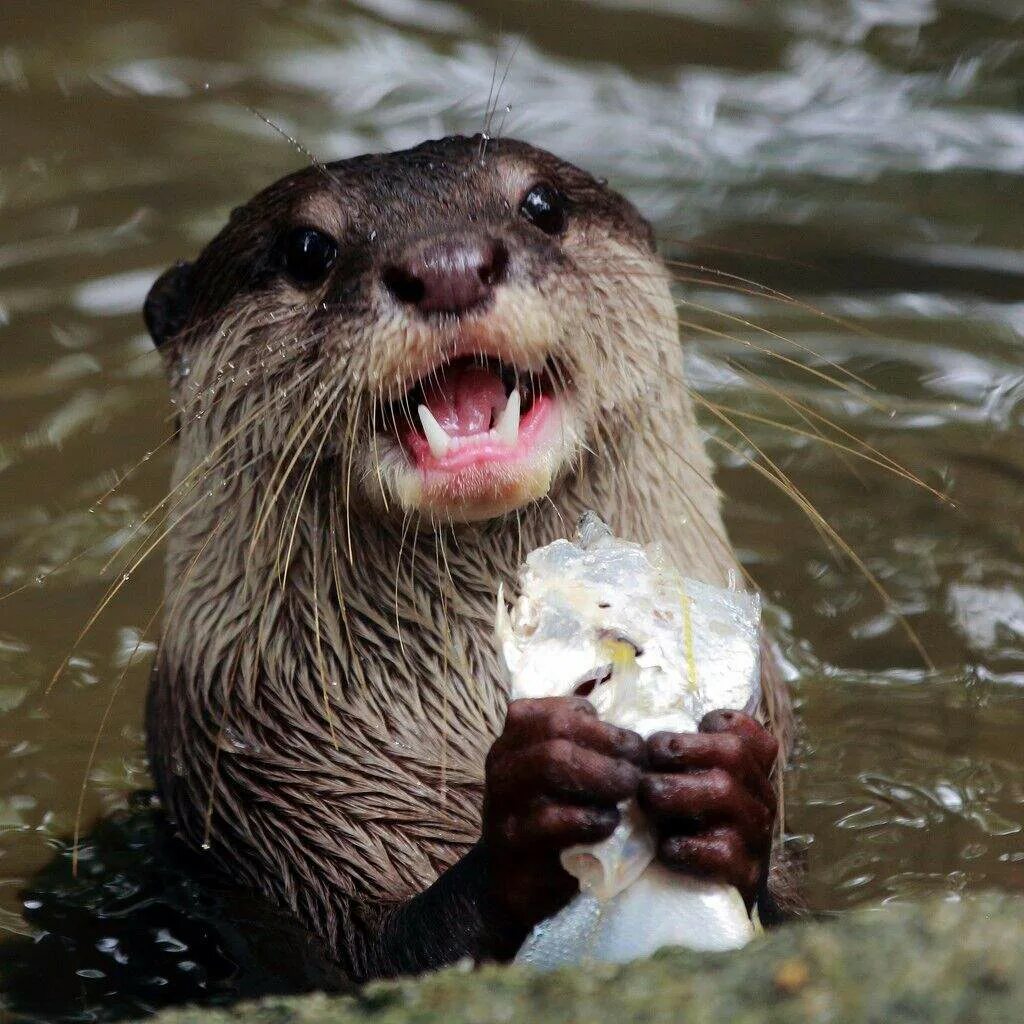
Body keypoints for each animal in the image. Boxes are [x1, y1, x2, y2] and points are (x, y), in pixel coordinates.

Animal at [140, 132, 790, 978]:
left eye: (542, 204)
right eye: (306, 248)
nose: (448, 264)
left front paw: (730, 788)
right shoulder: (261, 810)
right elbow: (389, 955)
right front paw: (541, 795)